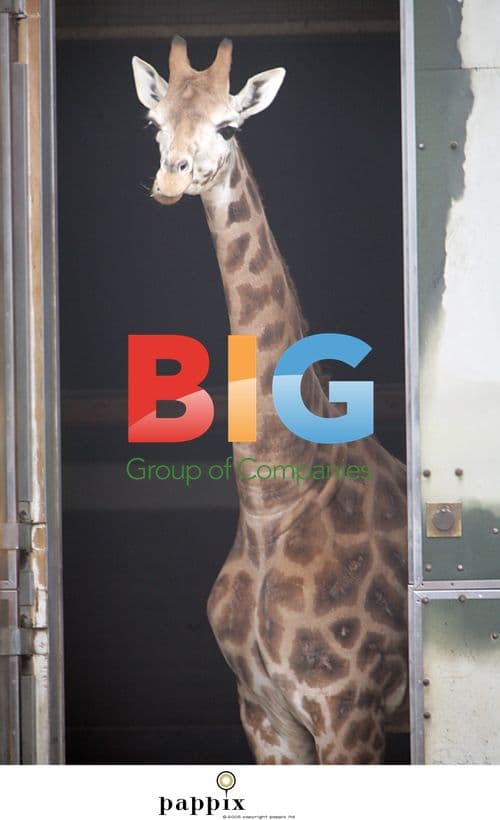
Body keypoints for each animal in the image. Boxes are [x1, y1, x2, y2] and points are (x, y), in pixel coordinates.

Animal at [132, 36, 408, 765]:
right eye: (154, 122)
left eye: (230, 127)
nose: (170, 181)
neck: (269, 503)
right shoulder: (265, 714)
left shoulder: (348, 710)